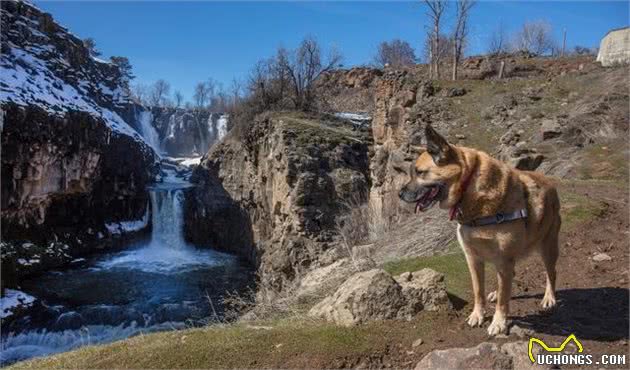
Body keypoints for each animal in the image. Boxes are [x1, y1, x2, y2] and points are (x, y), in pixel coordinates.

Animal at [400, 124, 564, 336]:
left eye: (420, 172)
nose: (399, 193)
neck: (471, 191)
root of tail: (549, 182)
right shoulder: (473, 258)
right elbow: (478, 290)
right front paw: (478, 315)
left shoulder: (503, 259)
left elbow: (503, 300)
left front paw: (499, 322)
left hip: (547, 248)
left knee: (551, 273)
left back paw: (549, 297)